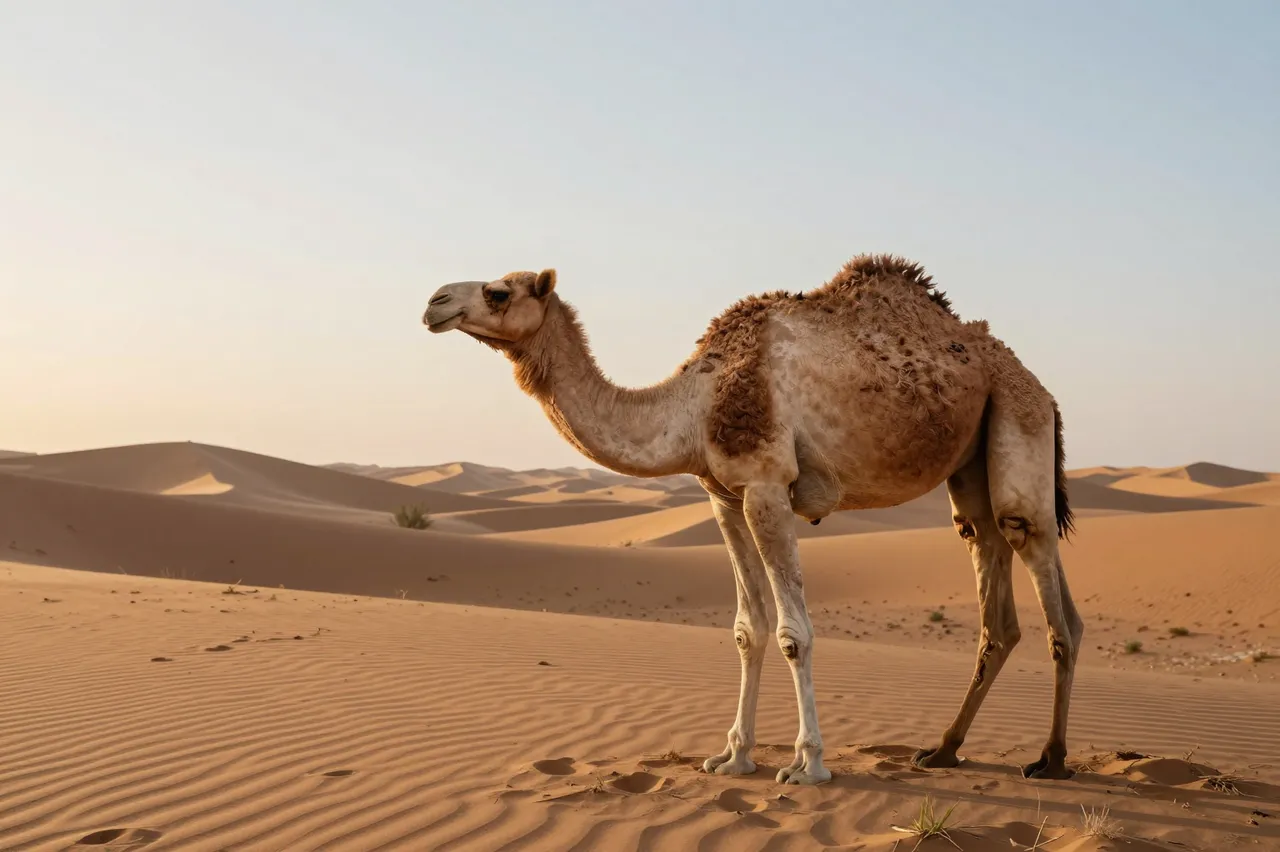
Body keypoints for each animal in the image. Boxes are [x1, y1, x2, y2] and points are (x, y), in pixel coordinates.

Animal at [423, 254, 1083, 785]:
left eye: (498, 292)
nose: (434, 303)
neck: (693, 404)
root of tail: (1045, 391)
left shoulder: (767, 485)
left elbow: (794, 633)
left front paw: (808, 765)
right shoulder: (723, 496)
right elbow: (748, 629)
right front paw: (732, 758)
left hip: (1018, 420)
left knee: (1045, 581)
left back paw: (1050, 760)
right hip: (970, 466)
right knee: (993, 590)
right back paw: (942, 751)